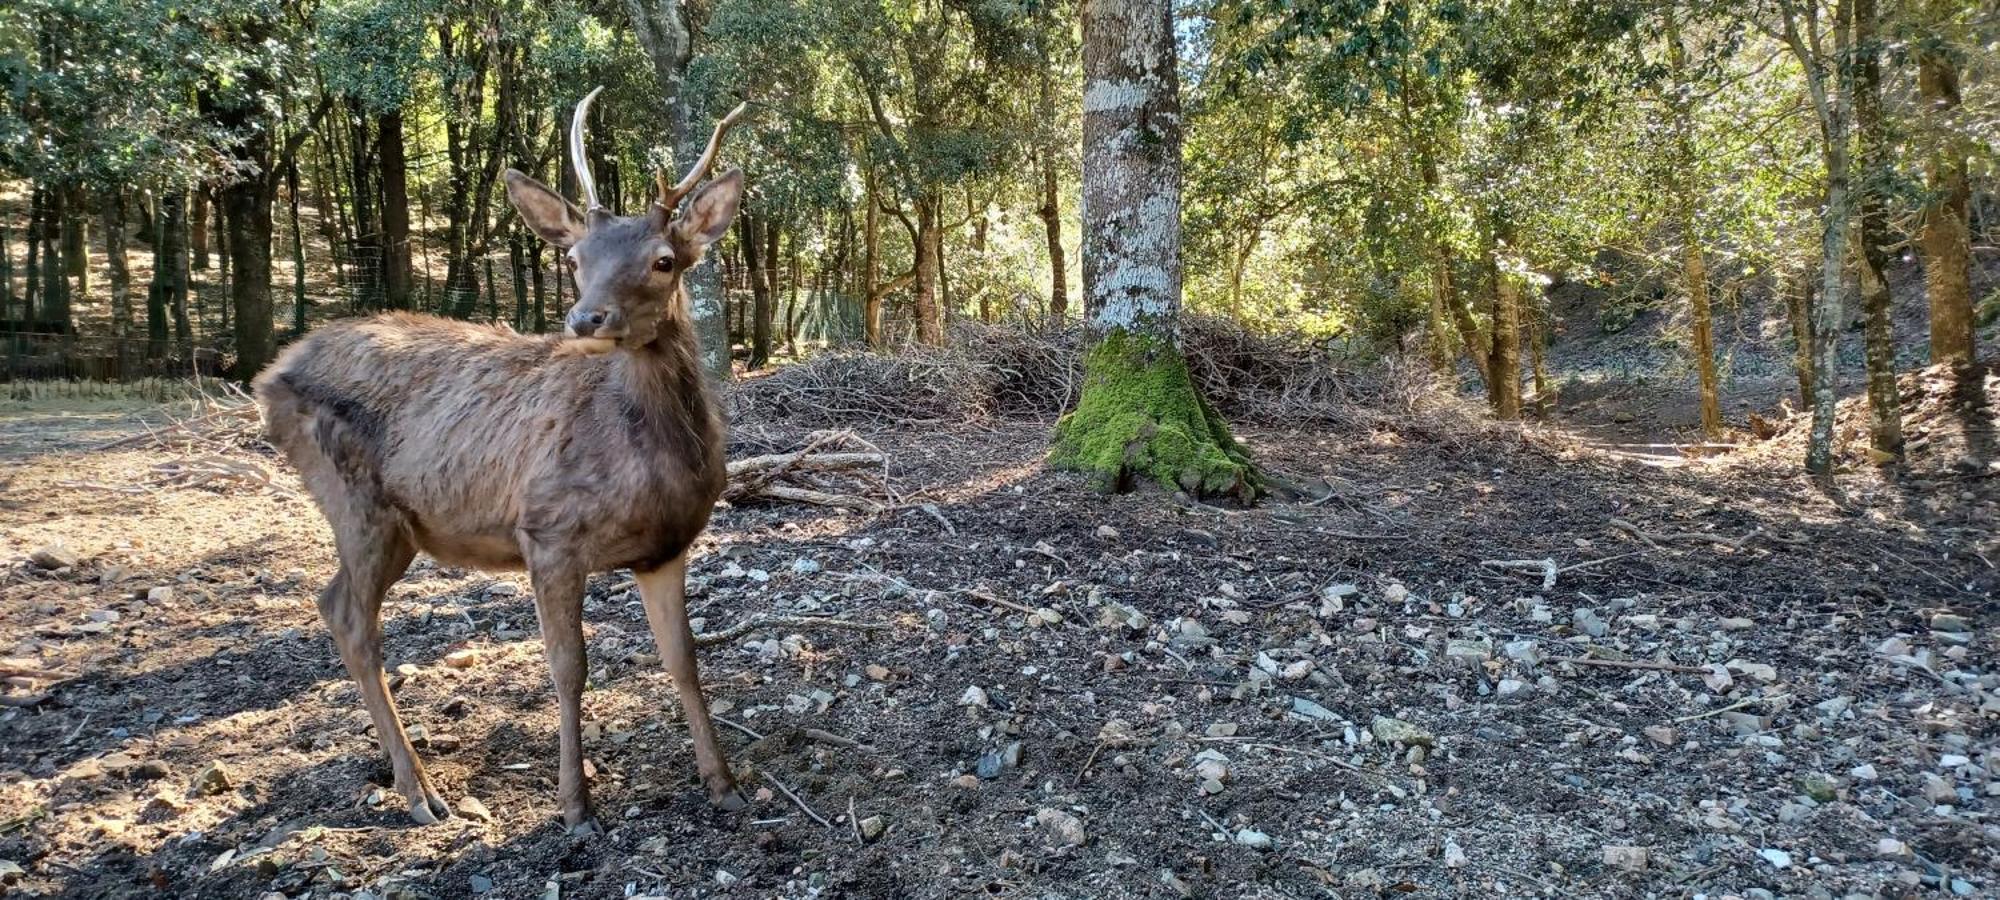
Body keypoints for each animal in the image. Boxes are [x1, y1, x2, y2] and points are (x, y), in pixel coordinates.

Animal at [252, 91, 752, 828]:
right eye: (575, 259)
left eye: (664, 259)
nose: (585, 319)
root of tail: (268, 377)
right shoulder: (547, 532)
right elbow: (568, 666)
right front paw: (575, 803)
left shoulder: (666, 547)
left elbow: (683, 658)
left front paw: (723, 780)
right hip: (356, 503)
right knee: (350, 619)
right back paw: (421, 791)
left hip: (397, 526)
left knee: (331, 602)